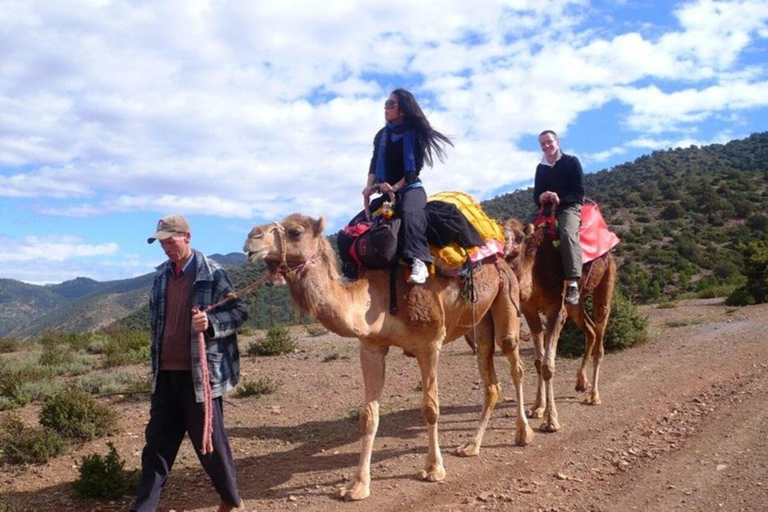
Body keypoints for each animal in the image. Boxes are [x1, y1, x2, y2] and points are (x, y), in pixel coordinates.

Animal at [246, 214, 536, 502]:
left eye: (295, 231)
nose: (251, 238)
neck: (379, 299)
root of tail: (501, 257)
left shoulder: (430, 343)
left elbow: (430, 408)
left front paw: (433, 469)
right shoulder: (371, 347)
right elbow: (368, 416)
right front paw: (357, 486)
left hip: (506, 297)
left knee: (515, 362)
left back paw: (525, 432)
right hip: (479, 322)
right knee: (490, 379)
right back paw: (471, 445)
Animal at [504, 216, 616, 432]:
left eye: (520, 238)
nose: (505, 248)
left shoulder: (555, 309)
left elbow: (548, 365)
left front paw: (551, 421)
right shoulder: (530, 309)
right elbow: (538, 362)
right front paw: (536, 408)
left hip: (606, 280)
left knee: (600, 332)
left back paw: (593, 396)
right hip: (575, 303)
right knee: (590, 330)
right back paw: (581, 383)